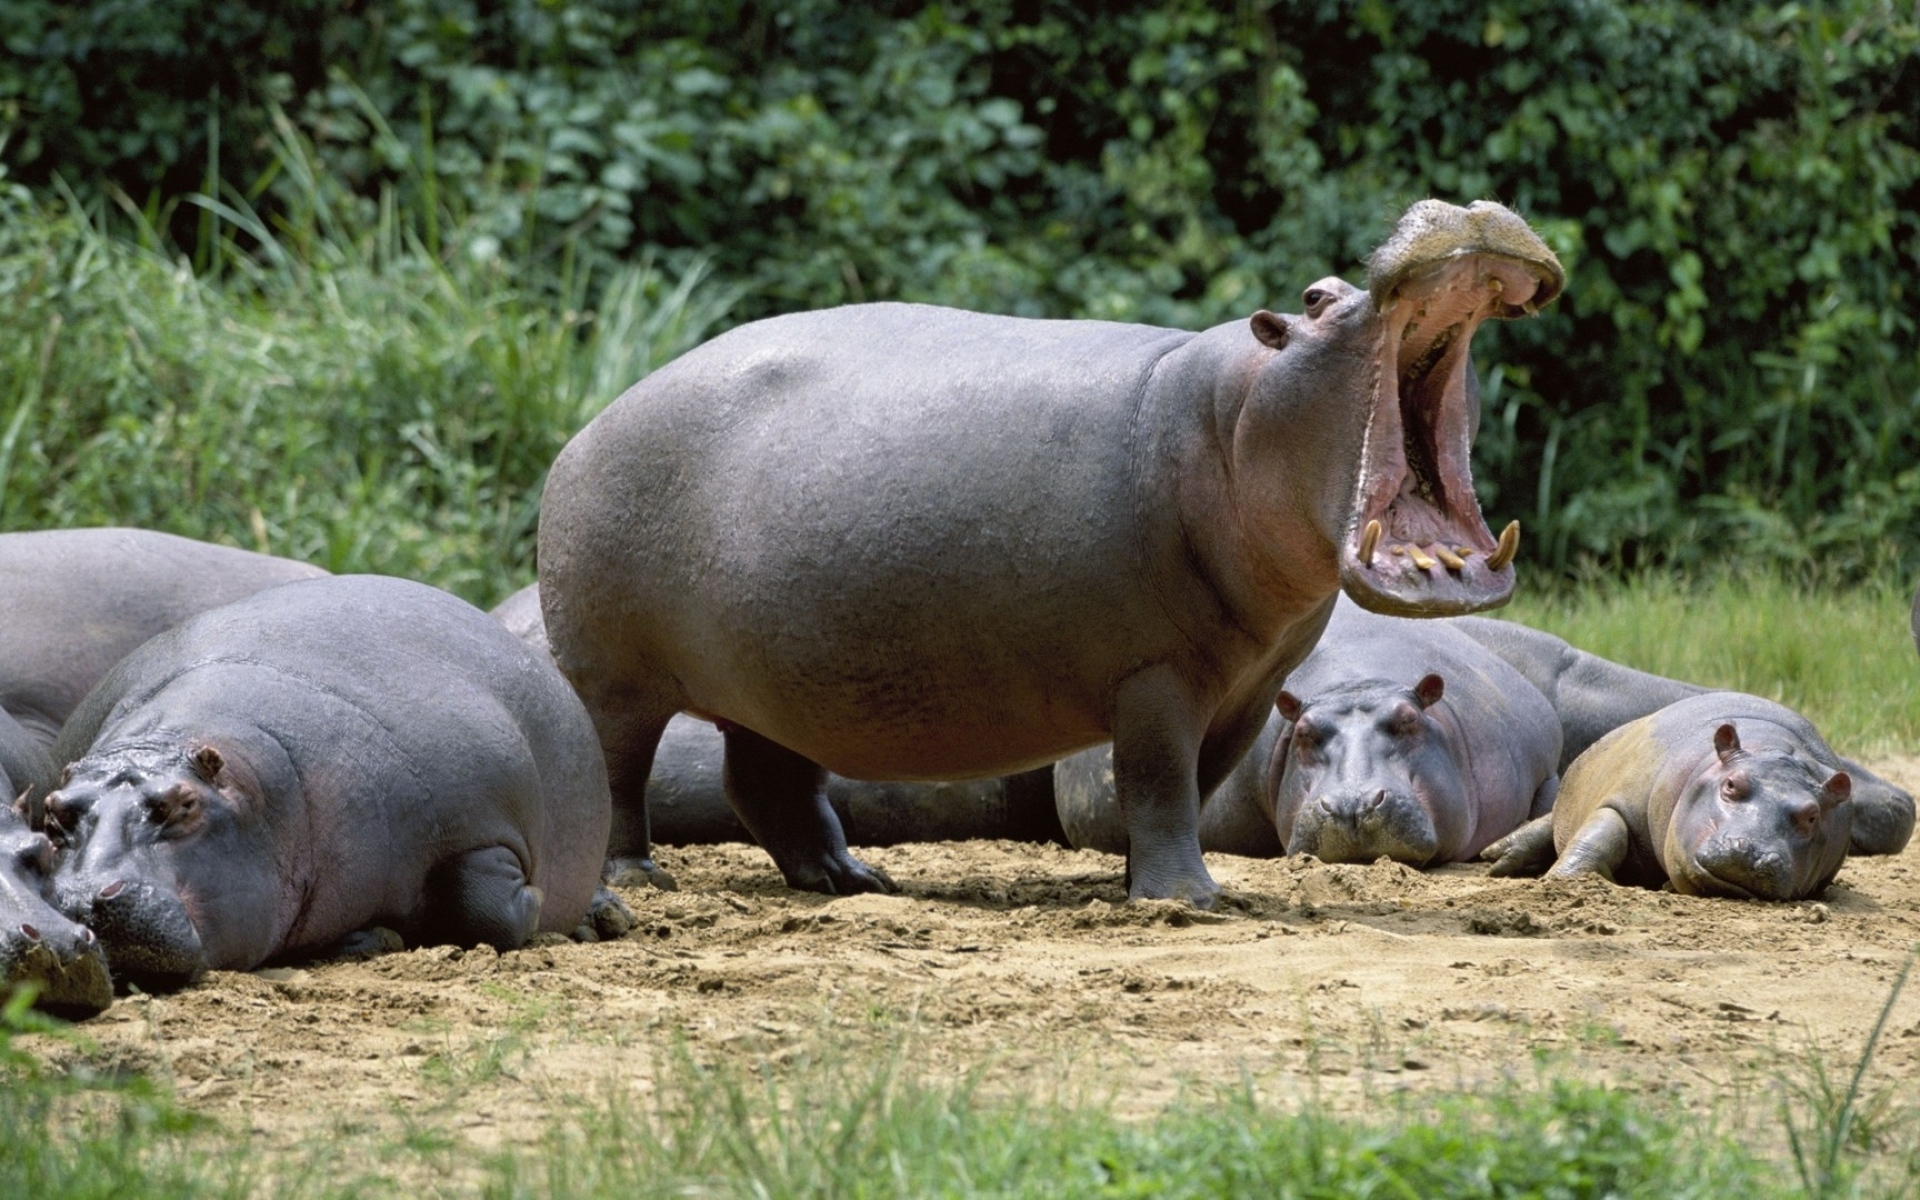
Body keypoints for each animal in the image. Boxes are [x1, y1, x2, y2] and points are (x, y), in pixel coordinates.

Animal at [1482, 687, 1858, 894]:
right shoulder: (1625, 798)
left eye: (1812, 816)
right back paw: (1496, 859)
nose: (1750, 850)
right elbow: (1600, 833)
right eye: (1731, 784)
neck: (1775, 751)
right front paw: (1565, 880)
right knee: (1550, 824)